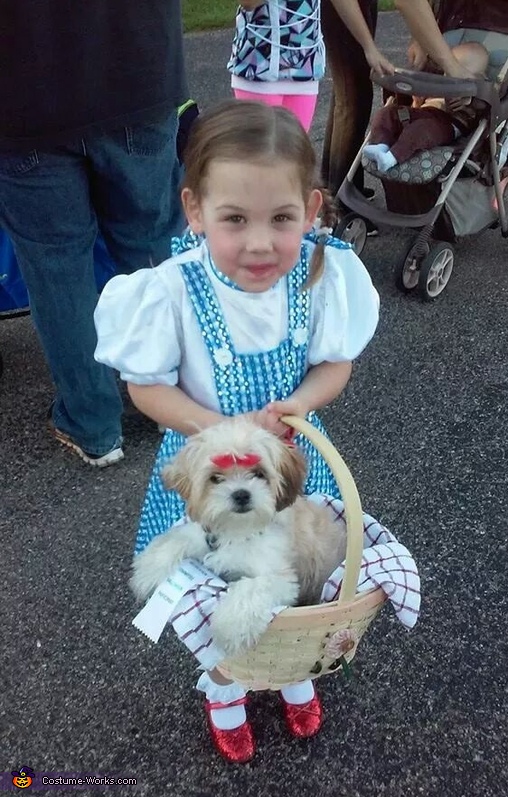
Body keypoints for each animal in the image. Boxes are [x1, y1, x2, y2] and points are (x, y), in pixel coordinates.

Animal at [129, 416, 348, 652]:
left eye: (259, 473)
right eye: (215, 478)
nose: (241, 494)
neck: (237, 531)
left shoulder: (280, 577)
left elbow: (250, 587)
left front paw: (230, 625)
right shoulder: (204, 535)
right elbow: (178, 538)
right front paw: (147, 571)